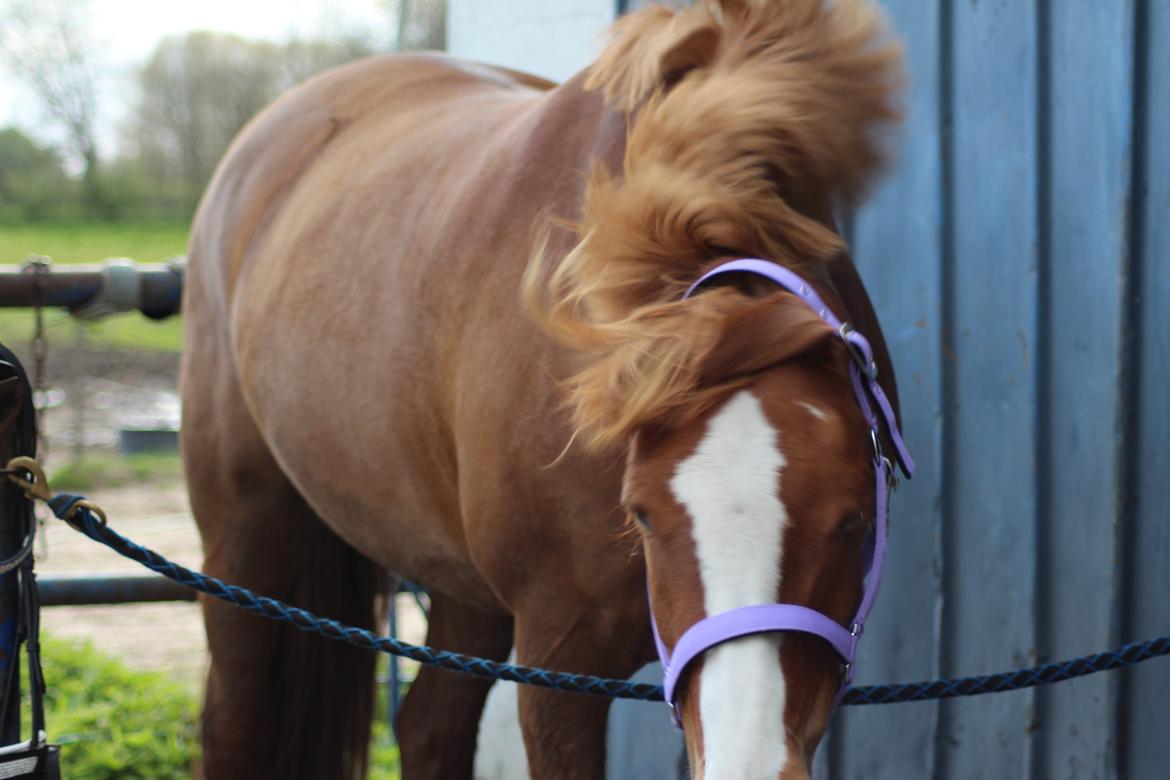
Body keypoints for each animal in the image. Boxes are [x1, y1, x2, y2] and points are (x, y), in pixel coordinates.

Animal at [180, 1, 906, 777]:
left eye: (856, 519)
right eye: (642, 514)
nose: (748, 762)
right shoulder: (560, 663)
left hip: (461, 585)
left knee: (428, 727)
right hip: (245, 535)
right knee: (237, 722)